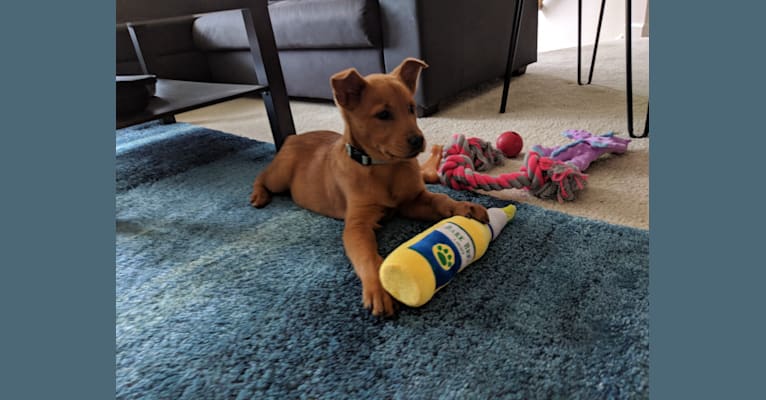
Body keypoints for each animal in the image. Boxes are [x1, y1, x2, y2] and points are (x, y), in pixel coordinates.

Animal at [252, 57, 492, 318]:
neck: (385, 168)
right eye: (383, 114)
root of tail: (293, 137)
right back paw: (258, 195)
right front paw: (379, 288)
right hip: (280, 176)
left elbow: (440, 200)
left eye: (411, 108)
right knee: (262, 175)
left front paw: (465, 207)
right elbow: (367, 256)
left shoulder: (412, 202)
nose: (419, 141)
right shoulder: (356, 225)